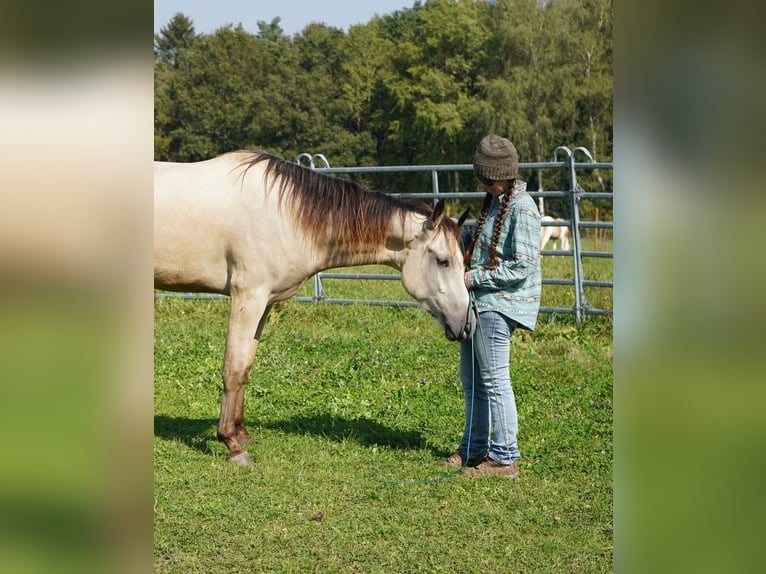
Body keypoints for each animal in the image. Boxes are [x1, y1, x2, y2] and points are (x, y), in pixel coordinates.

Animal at [154, 151, 472, 466]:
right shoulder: (247, 298)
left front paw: (242, 434)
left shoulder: (264, 304)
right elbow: (232, 369)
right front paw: (232, 445)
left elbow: (245, 368)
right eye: (443, 261)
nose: (466, 326)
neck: (283, 213)